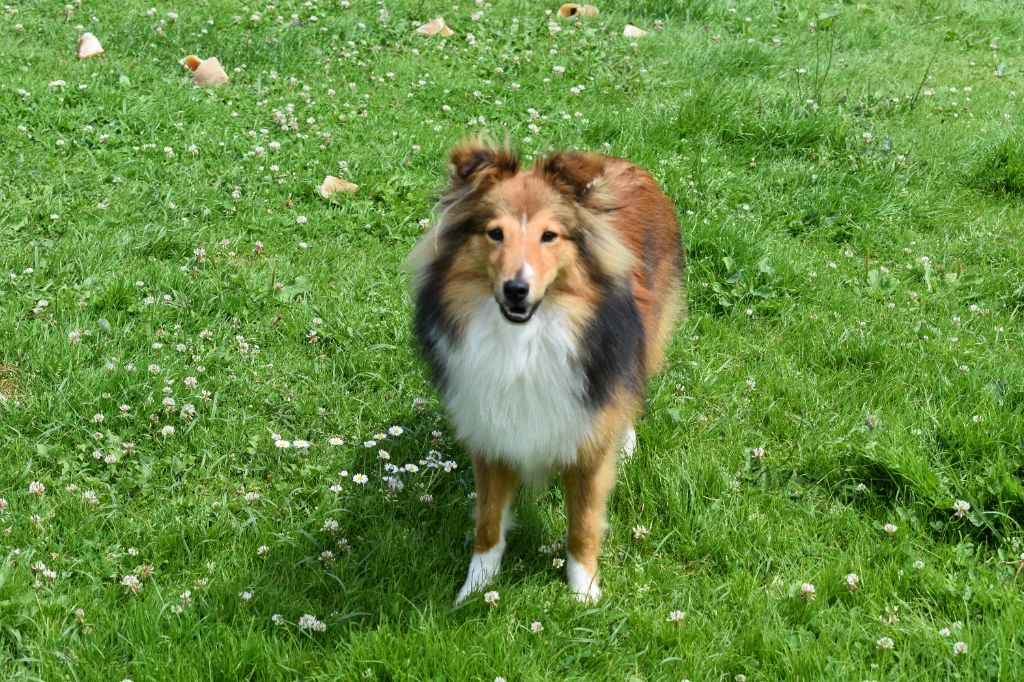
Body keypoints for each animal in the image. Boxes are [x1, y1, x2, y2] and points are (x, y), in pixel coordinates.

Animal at [403, 137, 684, 602]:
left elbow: (583, 525)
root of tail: (625, 164)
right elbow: (489, 522)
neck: (525, 342)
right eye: (494, 233)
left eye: (549, 235)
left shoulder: (587, 443)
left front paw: (584, 593)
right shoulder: (491, 435)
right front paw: (474, 589)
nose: (516, 290)